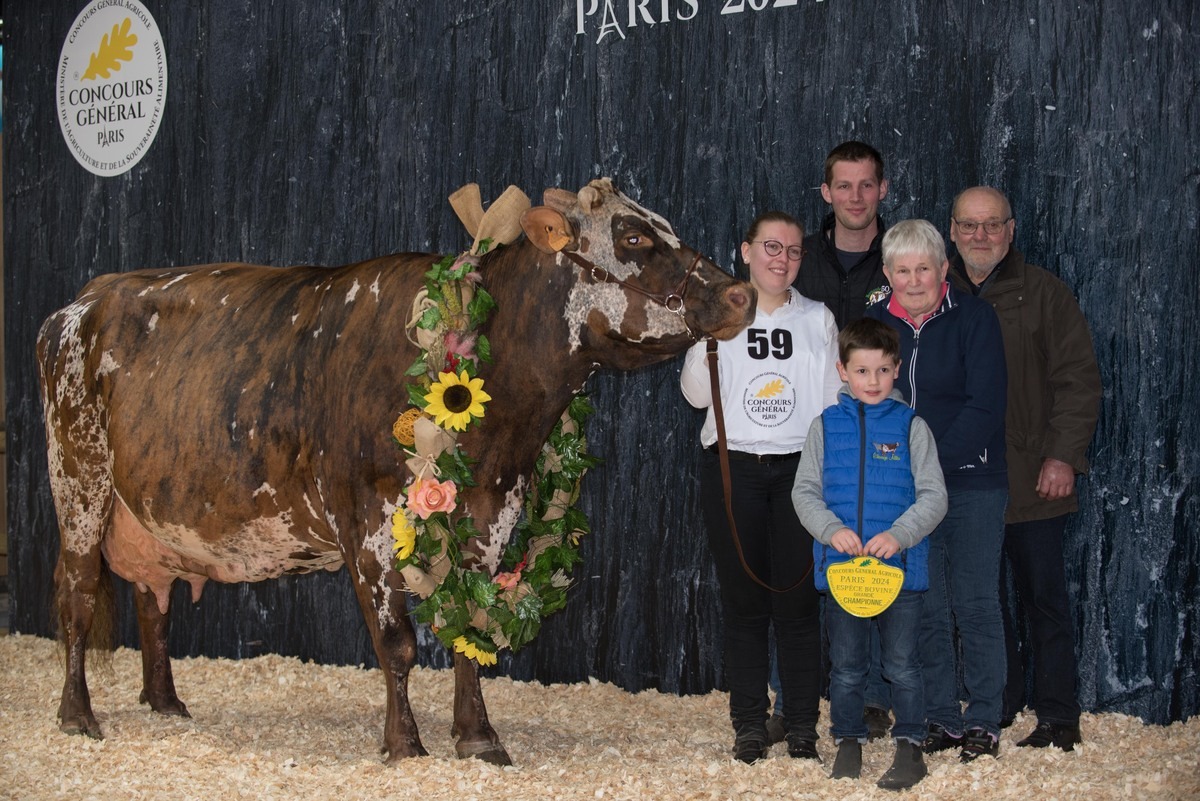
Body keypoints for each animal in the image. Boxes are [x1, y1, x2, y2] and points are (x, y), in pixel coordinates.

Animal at [39, 178, 758, 767]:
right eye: (634, 236)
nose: (741, 291)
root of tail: (83, 300)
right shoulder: (368, 516)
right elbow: (397, 641)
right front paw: (406, 745)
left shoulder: (495, 506)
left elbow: (472, 629)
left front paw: (478, 737)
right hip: (78, 480)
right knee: (76, 595)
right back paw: (77, 715)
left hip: (147, 514)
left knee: (152, 600)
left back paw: (165, 702)